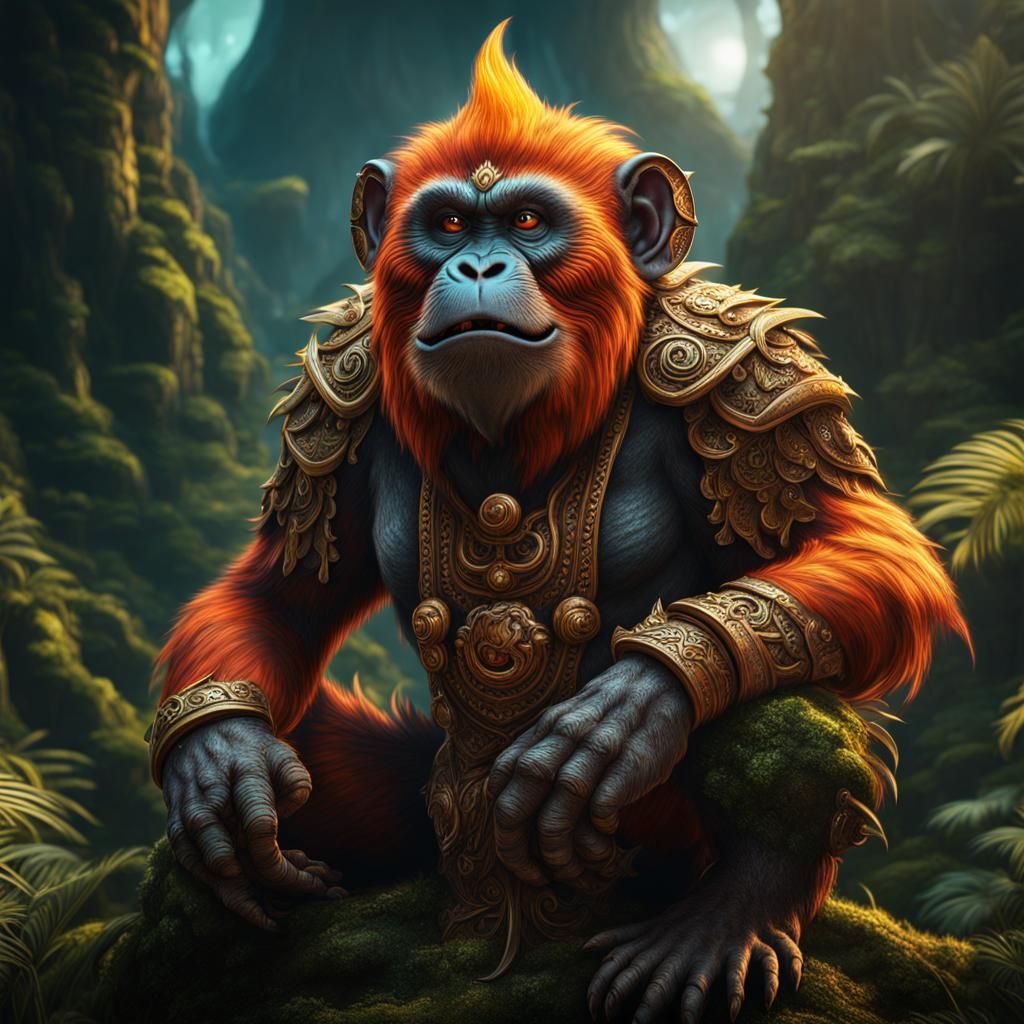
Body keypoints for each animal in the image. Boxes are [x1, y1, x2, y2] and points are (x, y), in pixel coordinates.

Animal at [149, 23, 967, 1024]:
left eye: (530, 224)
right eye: (448, 227)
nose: (476, 269)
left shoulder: (741, 376)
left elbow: (865, 549)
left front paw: (627, 709)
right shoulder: (339, 390)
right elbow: (279, 597)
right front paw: (220, 758)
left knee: (787, 676)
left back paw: (726, 919)